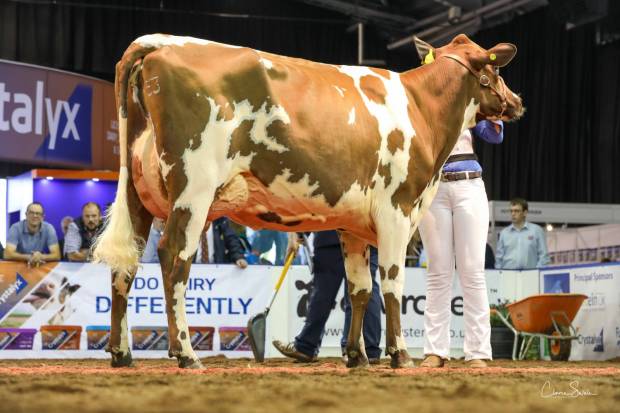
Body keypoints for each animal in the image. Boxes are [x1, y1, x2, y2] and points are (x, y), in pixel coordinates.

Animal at [93, 32, 524, 366]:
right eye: (497, 72)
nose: (517, 102)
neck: (421, 108)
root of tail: (157, 43)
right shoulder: (397, 209)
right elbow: (391, 282)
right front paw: (399, 354)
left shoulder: (353, 223)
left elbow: (359, 289)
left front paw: (357, 356)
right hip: (193, 188)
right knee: (174, 259)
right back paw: (185, 353)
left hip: (137, 194)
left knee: (126, 264)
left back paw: (121, 354)